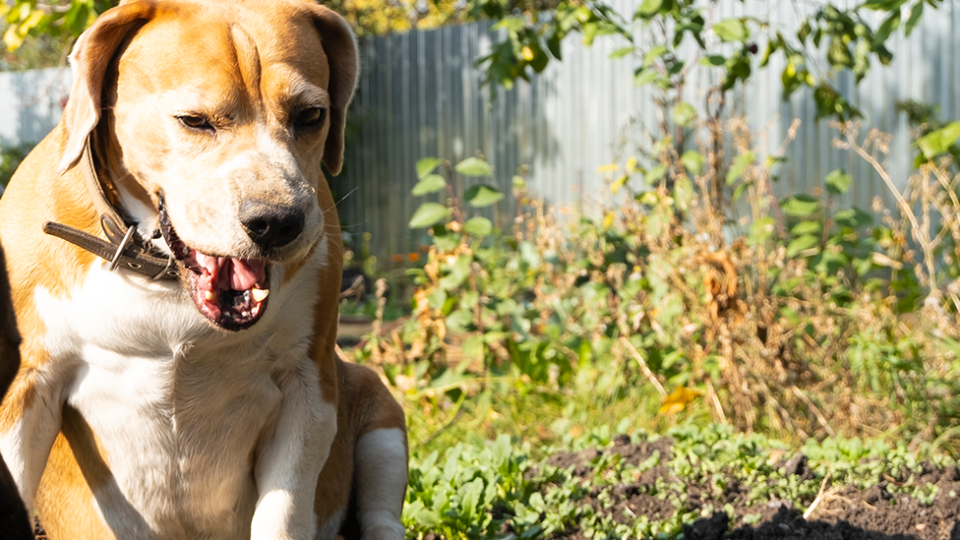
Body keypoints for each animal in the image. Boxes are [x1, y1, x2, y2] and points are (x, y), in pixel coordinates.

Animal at [0, 1, 406, 540]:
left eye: (311, 116)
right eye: (194, 121)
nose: (278, 221)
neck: (159, 277)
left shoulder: (308, 387)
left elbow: (283, 514)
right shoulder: (26, 386)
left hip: (379, 410)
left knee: (382, 514)